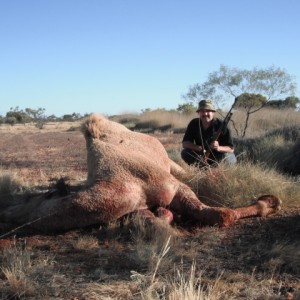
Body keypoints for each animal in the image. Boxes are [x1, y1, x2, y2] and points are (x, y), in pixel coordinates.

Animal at [0, 113, 282, 232]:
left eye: (32, 198)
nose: (7, 212)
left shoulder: (173, 186)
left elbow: (221, 214)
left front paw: (268, 202)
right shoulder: (136, 209)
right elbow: (155, 221)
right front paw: (166, 215)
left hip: (170, 163)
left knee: (194, 171)